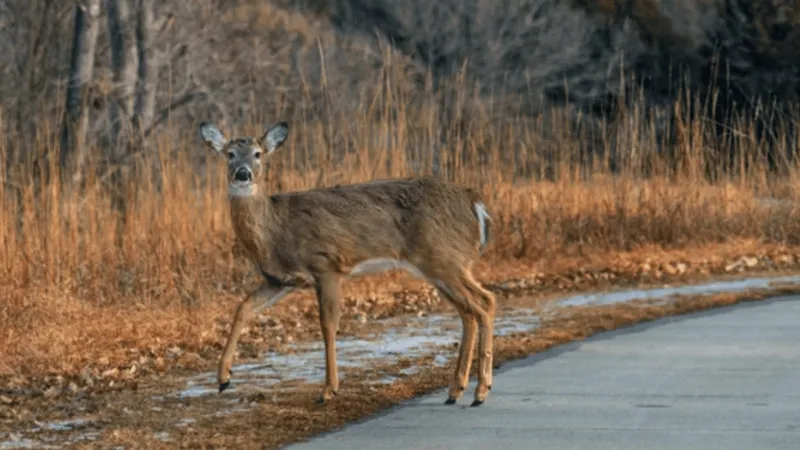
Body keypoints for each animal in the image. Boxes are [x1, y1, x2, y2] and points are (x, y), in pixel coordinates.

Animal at [198, 120, 497, 406]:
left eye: (258, 154)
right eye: (230, 154)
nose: (243, 174)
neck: (275, 229)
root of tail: (475, 204)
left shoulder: (327, 265)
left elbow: (328, 325)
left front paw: (329, 390)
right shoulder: (281, 280)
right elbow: (243, 309)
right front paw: (223, 378)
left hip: (443, 259)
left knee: (484, 302)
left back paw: (481, 391)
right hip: (442, 266)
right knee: (469, 311)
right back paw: (456, 390)